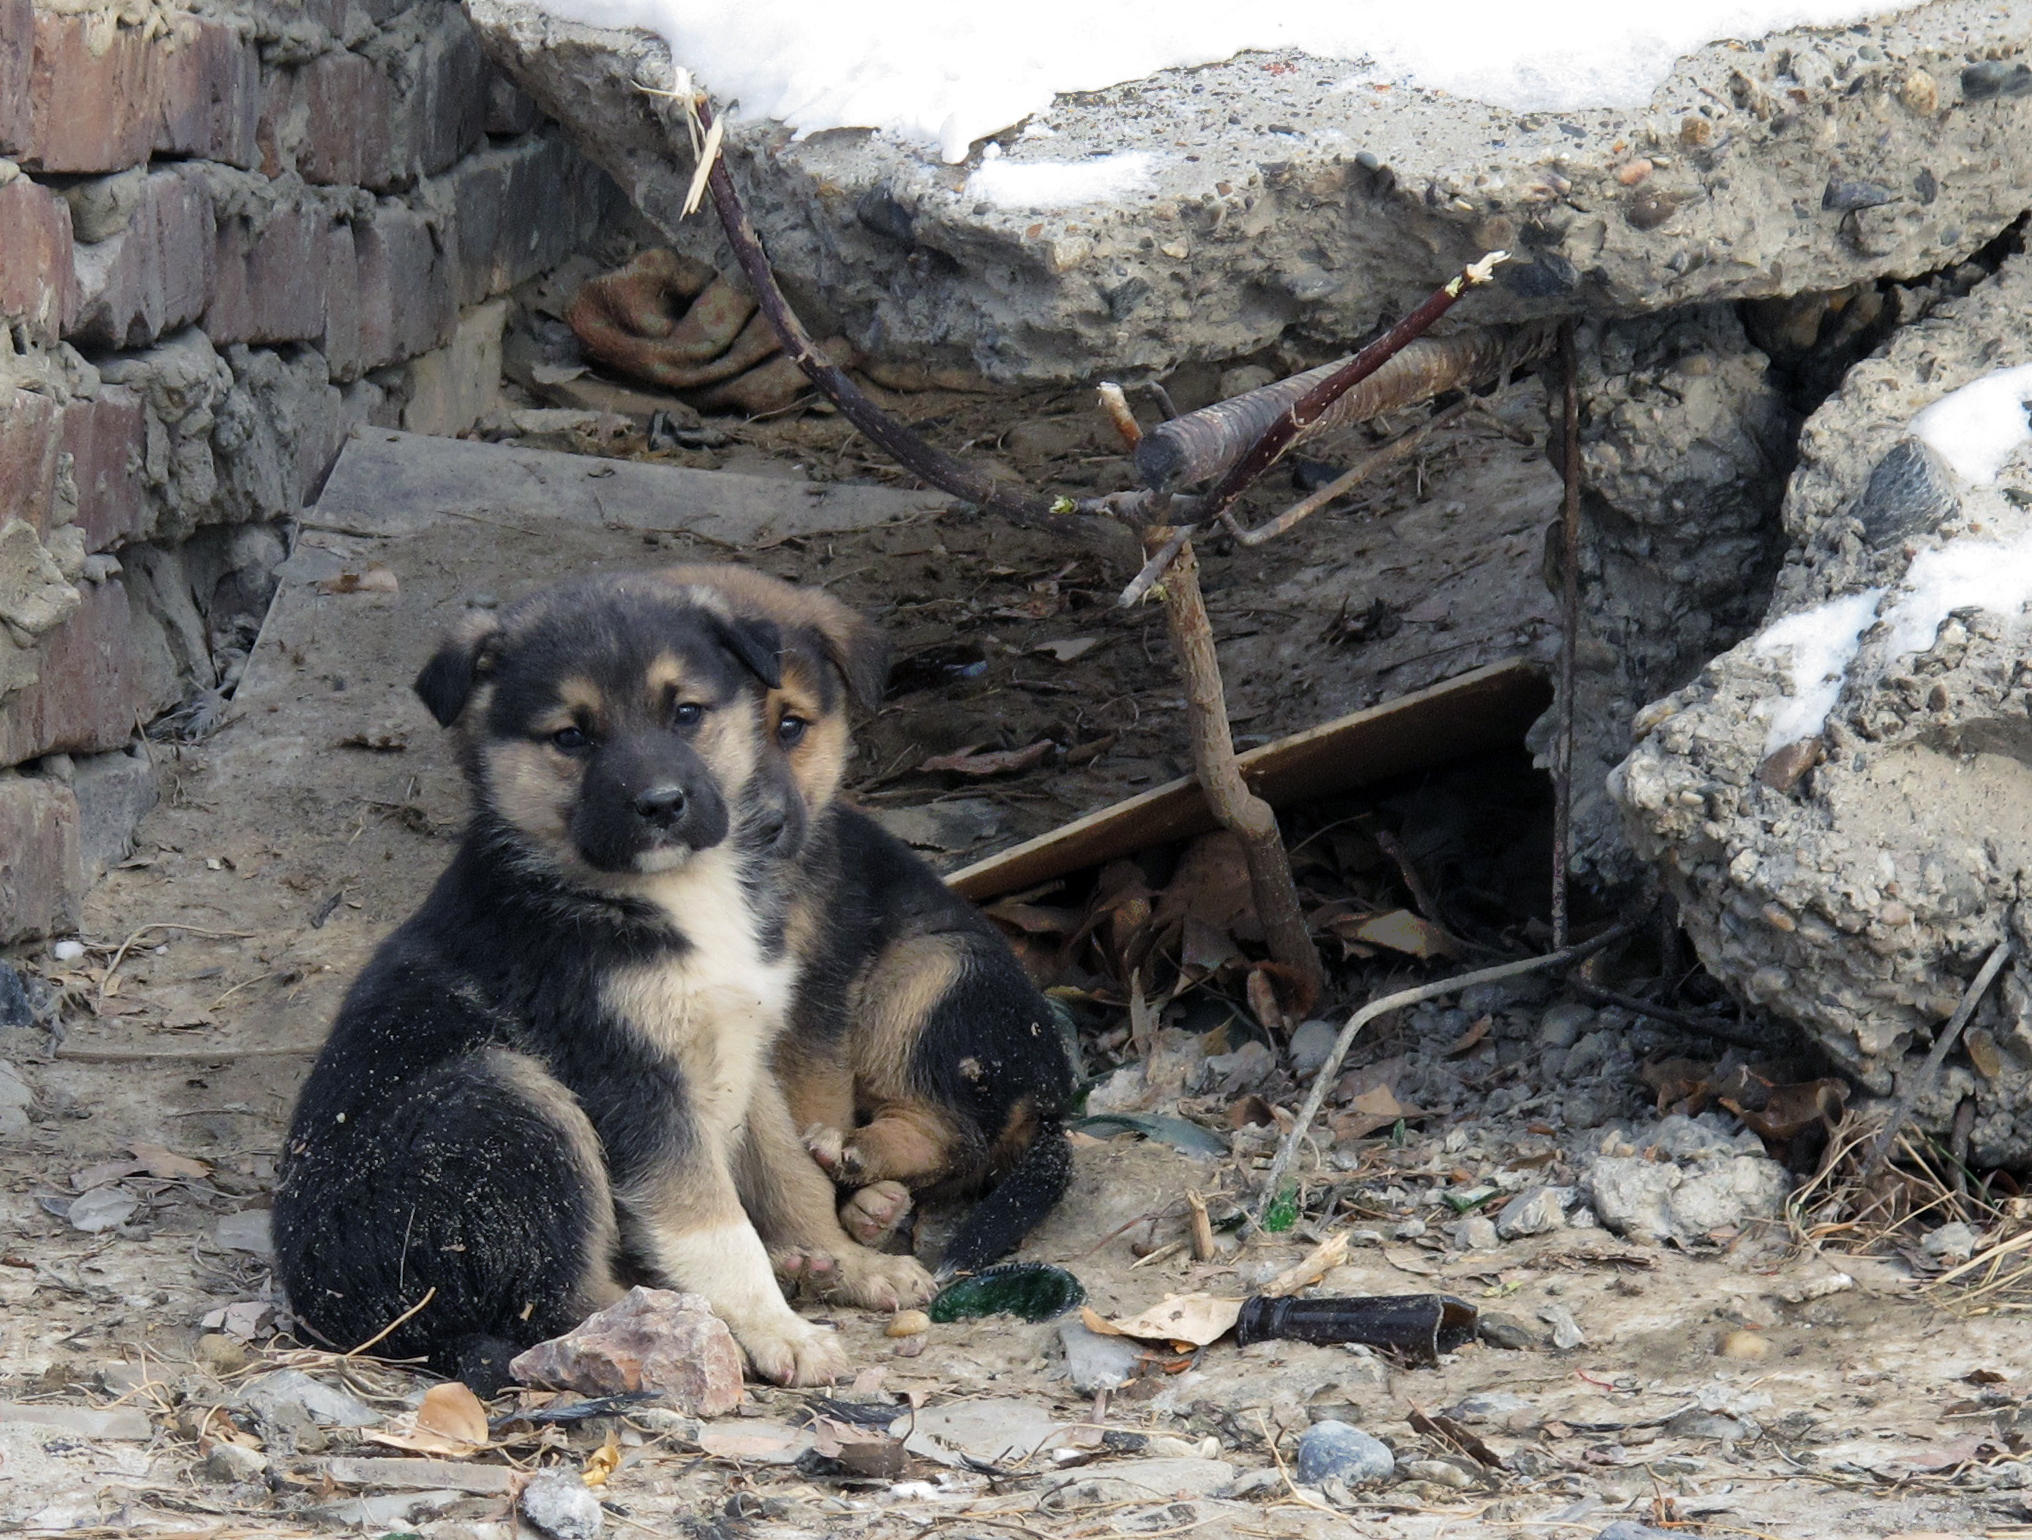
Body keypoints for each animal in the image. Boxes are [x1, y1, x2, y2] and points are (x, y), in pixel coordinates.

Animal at [270, 576, 930, 1397]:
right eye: (571, 737)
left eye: (686, 712)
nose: (661, 805)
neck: (667, 893)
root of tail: (342, 1319)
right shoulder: (633, 1081)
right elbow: (715, 1225)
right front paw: (777, 1328)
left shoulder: (746, 1052)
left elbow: (790, 1178)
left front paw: (847, 1262)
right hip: (508, 1101)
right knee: (558, 1308)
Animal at [662, 568, 1081, 1275]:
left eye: (791, 726)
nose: (765, 828)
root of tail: (1052, 1098)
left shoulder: (812, 999)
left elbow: (803, 1104)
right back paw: (871, 1203)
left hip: (931, 974)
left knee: (953, 1134)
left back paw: (854, 1161)